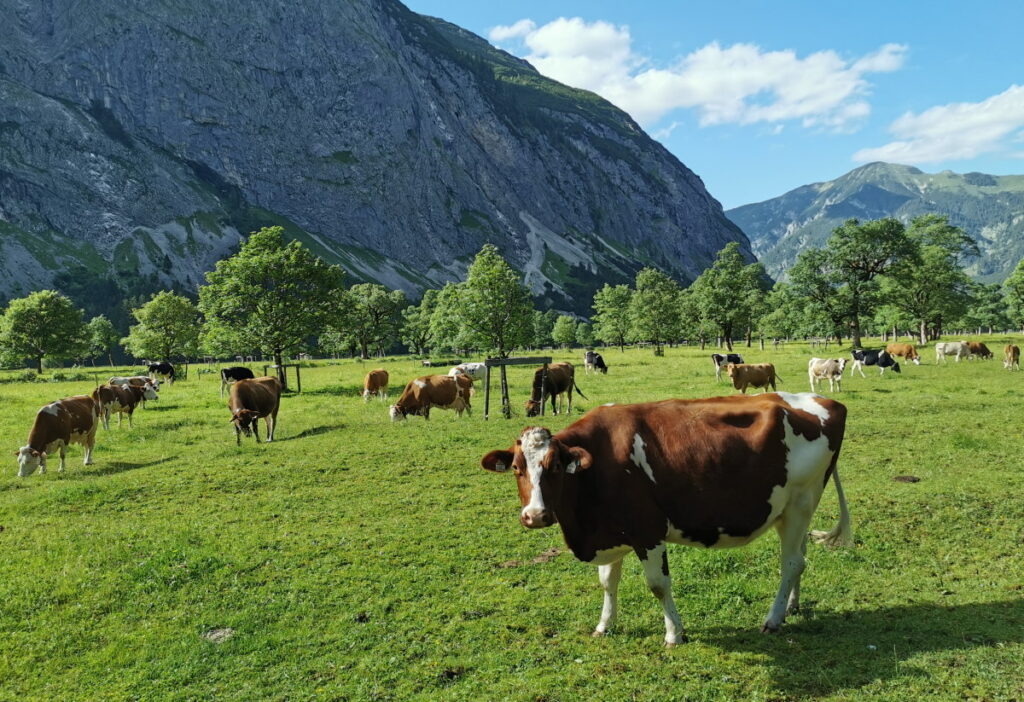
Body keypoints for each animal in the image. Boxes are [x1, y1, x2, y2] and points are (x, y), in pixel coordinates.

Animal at [483, 392, 851, 646]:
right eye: (516, 468)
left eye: (556, 466)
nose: (535, 516)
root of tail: (824, 400)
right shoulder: (611, 531)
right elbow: (608, 581)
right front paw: (605, 625)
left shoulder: (648, 530)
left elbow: (658, 585)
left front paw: (674, 633)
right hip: (790, 511)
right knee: (799, 557)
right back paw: (791, 606)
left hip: (801, 501)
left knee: (791, 563)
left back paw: (773, 619)